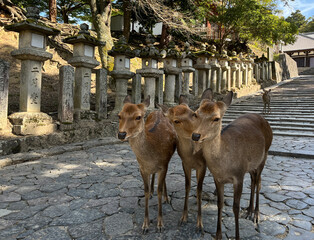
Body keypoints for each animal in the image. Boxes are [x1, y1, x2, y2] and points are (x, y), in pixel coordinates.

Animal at [118, 95, 177, 232]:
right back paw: (151, 192)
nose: (121, 134)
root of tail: (158, 111)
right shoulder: (142, 168)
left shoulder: (163, 165)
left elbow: (159, 190)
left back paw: (166, 198)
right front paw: (145, 225)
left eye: (138, 117)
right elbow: (144, 190)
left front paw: (160, 224)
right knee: (153, 175)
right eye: (119, 115)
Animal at [158, 95, 207, 232]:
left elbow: (199, 189)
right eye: (176, 121)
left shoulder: (203, 165)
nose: (196, 135)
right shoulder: (185, 163)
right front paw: (183, 218)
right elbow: (187, 186)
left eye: (194, 114)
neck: (192, 156)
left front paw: (199, 224)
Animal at [191, 89, 272, 240]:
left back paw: (256, 215)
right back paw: (249, 210)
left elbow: (235, 207)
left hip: (264, 156)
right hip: (251, 166)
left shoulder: (238, 176)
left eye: (216, 118)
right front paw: (218, 235)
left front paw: (237, 236)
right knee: (253, 181)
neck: (224, 166)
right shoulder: (218, 178)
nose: (196, 135)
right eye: (196, 113)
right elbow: (220, 203)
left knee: (258, 183)